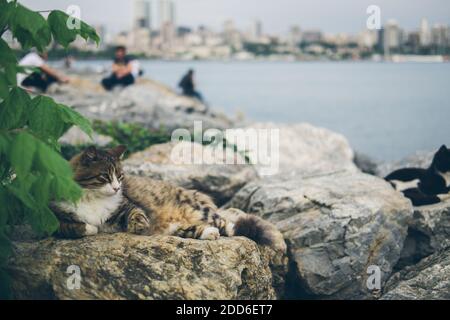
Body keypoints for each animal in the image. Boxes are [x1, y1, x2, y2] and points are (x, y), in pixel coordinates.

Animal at [50, 145, 284, 252]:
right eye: (105, 177)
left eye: (120, 176)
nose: (116, 188)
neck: (93, 200)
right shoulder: (55, 217)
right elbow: (77, 227)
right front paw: (91, 227)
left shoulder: (127, 205)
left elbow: (136, 214)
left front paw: (138, 225)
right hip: (177, 226)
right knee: (194, 230)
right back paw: (210, 234)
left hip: (202, 211)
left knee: (230, 224)